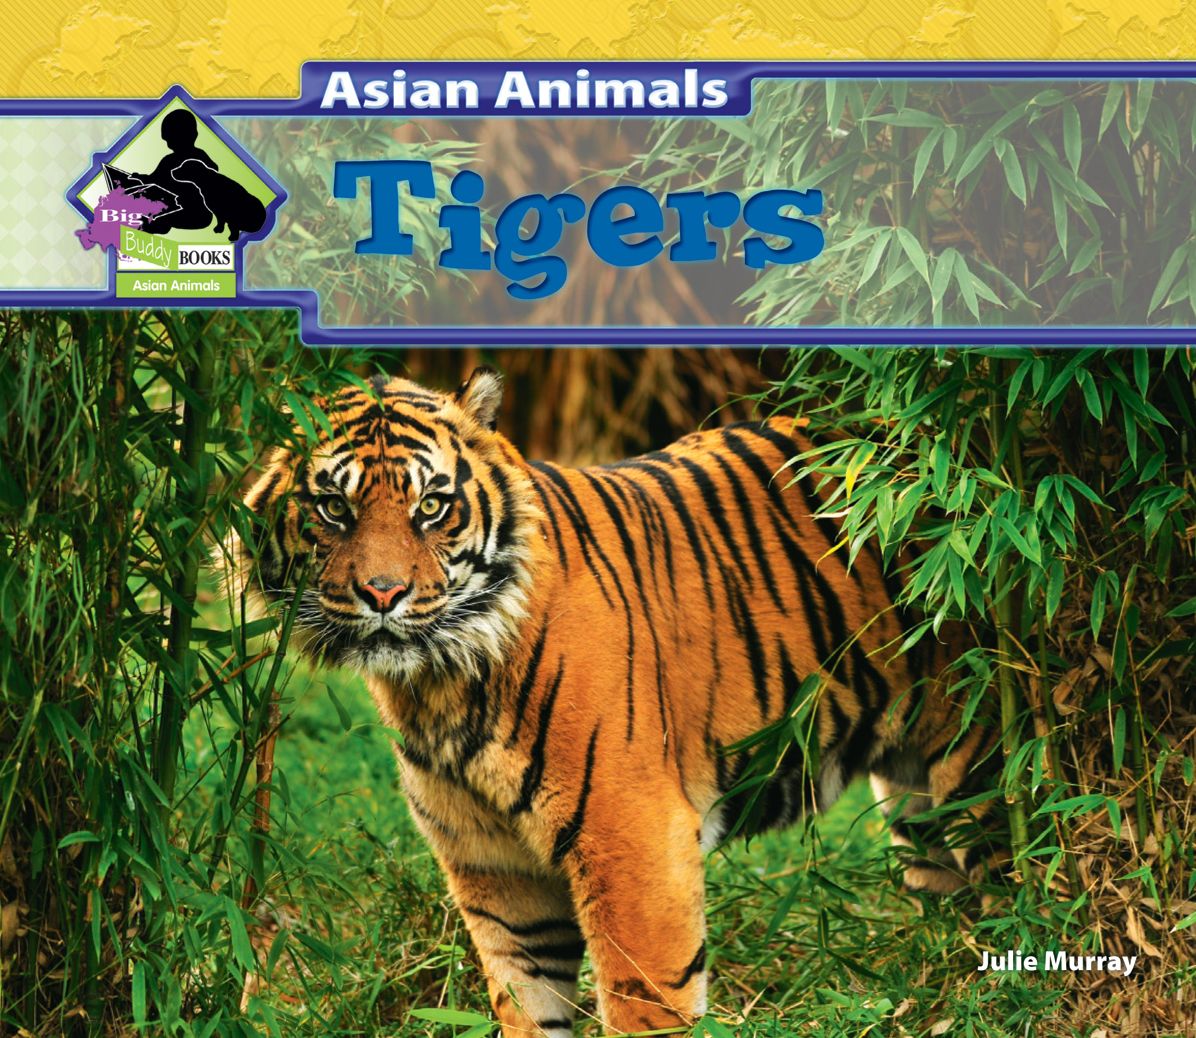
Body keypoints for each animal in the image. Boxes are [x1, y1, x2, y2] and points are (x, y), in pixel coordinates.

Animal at [229, 367, 999, 1036]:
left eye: (431, 507)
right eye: (334, 508)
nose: (382, 593)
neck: (439, 684)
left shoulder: (635, 840)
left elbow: (645, 1004)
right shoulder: (496, 871)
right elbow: (528, 1007)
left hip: (985, 764)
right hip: (917, 805)